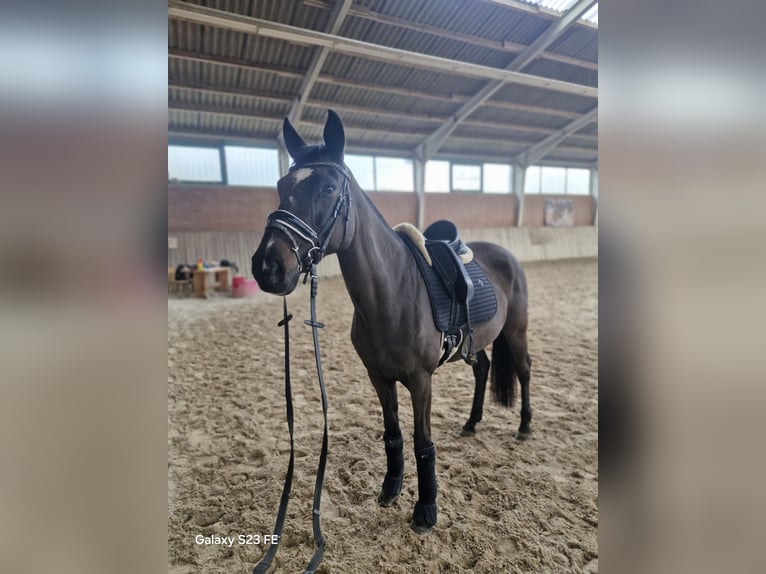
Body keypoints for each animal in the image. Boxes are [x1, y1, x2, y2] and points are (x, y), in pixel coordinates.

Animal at [251, 110, 532, 534]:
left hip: (516, 332)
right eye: (282, 185)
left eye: (329, 187)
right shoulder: (379, 377)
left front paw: (426, 510)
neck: (392, 293)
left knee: (525, 369)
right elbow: (393, 435)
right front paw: (391, 488)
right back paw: (471, 423)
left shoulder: (420, 380)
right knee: (482, 369)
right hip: (478, 341)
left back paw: (525, 427)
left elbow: (422, 443)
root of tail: (505, 254)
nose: (267, 266)